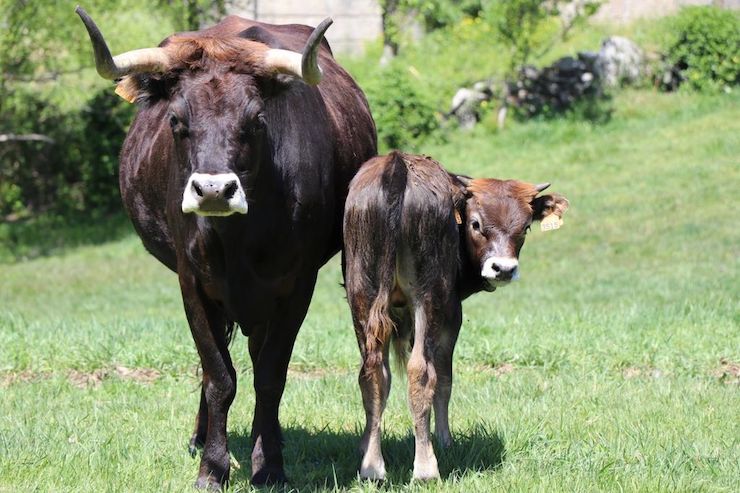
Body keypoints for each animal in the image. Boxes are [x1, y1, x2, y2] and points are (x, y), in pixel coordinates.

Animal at [76, 6, 376, 488]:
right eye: (176, 121)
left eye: (256, 120)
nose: (214, 190)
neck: (238, 241)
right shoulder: (192, 283)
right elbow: (219, 375)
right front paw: (212, 466)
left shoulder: (297, 285)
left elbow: (270, 375)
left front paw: (268, 464)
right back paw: (201, 438)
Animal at [344, 152, 568, 478]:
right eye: (476, 223)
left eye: (525, 227)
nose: (504, 269)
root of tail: (396, 167)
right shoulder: (451, 314)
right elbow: (444, 379)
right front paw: (445, 440)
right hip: (428, 299)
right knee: (420, 371)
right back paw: (426, 467)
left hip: (363, 294)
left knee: (372, 372)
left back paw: (372, 467)